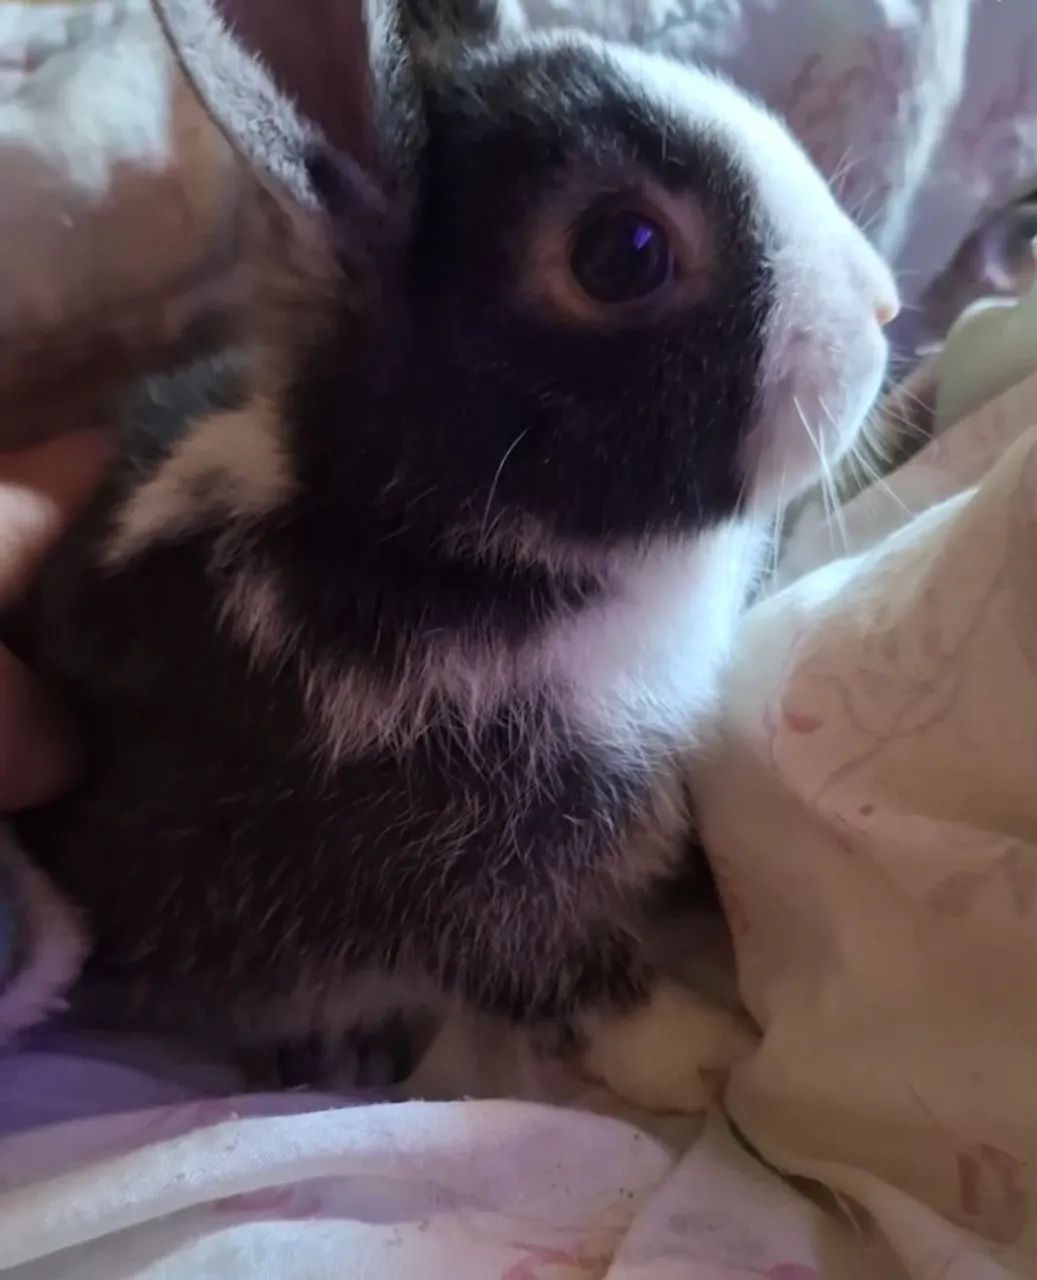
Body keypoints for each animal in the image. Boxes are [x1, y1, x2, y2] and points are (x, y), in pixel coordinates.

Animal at [8, 0, 897, 1091]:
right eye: (624, 253)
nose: (881, 304)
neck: (450, 550)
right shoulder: (455, 881)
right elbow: (569, 984)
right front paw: (704, 1056)